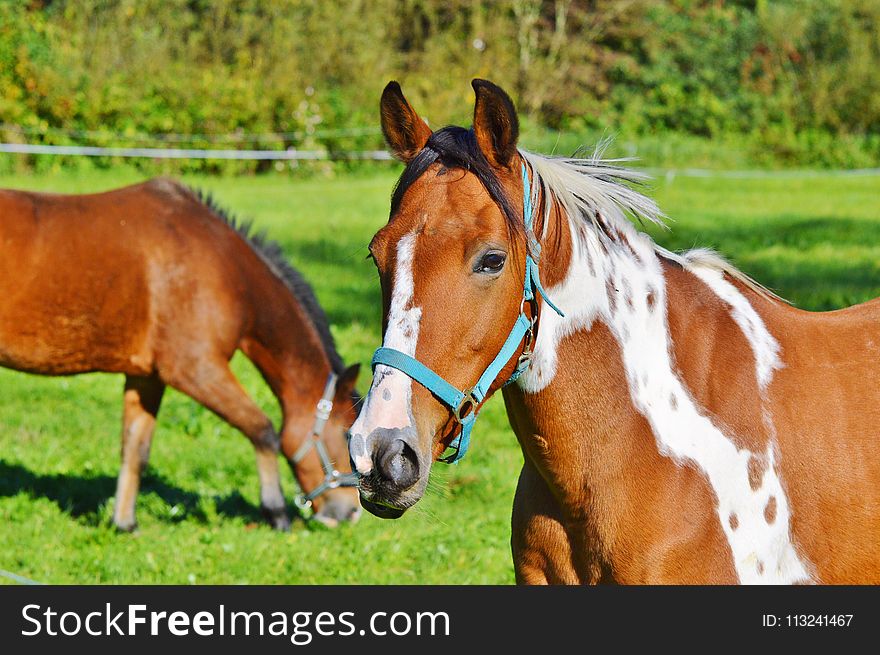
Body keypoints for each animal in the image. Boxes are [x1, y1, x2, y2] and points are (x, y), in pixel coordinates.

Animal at [0, 179, 360, 532]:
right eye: (346, 434)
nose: (351, 513)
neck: (223, 265)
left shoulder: (147, 376)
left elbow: (135, 449)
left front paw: (124, 523)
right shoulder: (195, 370)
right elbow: (263, 430)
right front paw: (276, 512)